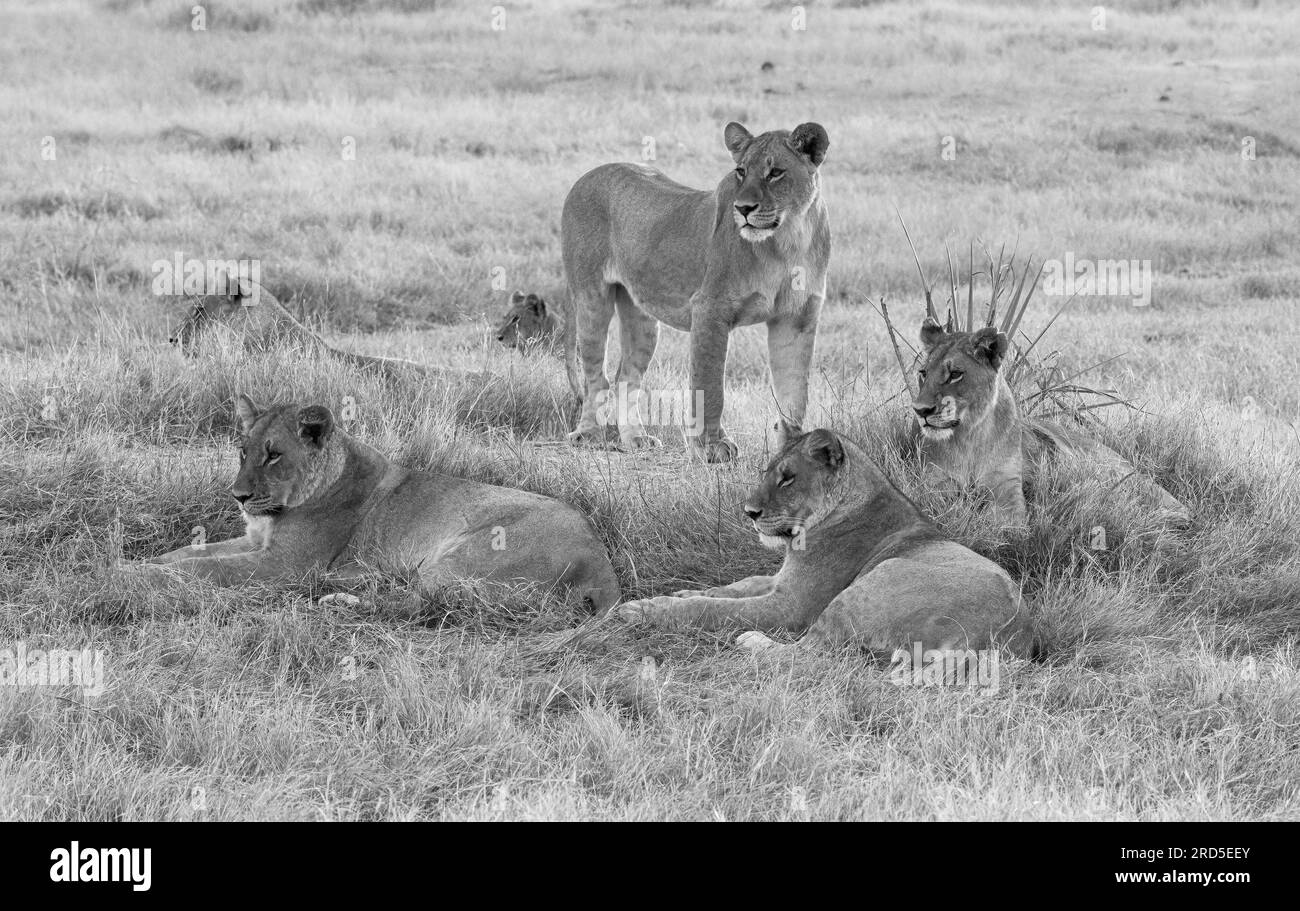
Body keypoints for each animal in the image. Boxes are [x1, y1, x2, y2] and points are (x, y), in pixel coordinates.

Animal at [139, 392, 621, 610]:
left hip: (463, 554)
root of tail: (600, 561)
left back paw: (337, 599)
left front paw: (135, 575)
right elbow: (192, 551)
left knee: (417, 604)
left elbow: (208, 568)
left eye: (274, 454)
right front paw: (152, 561)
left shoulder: (284, 564)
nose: (238, 496)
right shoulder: (257, 542)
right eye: (243, 451)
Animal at [561, 120, 832, 462]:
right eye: (741, 171)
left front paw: (793, 453)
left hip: (642, 317)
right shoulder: (710, 309)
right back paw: (587, 434)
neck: (789, 239)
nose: (743, 208)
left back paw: (635, 438)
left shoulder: (796, 319)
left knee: (626, 377)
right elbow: (710, 385)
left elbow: (794, 396)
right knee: (596, 376)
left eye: (775, 173)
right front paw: (710, 447)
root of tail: (587, 174)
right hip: (591, 298)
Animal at [613, 423, 1029, 654]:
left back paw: (751, 642)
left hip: (875, 580)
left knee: (807, 654)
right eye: (767, 472)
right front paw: (680, 594)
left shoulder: (792, 605)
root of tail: (1009, 631)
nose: (749, 512)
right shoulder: (782, 579)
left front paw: (645, 610)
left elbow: (715, 610)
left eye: (788, 478)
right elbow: (736, 586)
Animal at [909, 318, 1190, 525]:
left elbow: (1005, 524)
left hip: (1119, 474)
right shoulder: (933, 484)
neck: (968, 438)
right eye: (923, 373)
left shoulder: (1007, 488)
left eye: (955, 374)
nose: (920, 410)